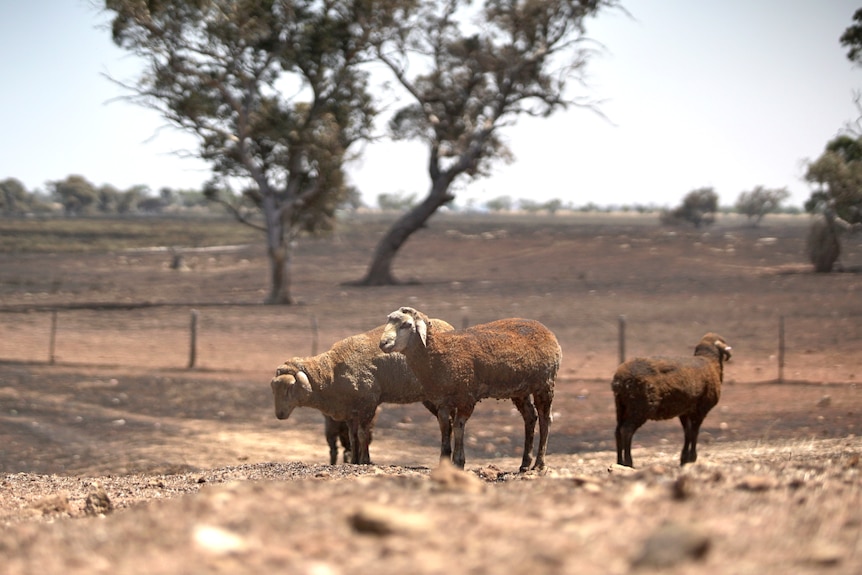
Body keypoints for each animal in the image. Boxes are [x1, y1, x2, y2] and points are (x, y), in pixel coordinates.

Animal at [274, 322, 456, 466]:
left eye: (289, 388)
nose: (279, 415)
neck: (331, 372)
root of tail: (450, 327)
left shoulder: (368, 404)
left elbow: (363, 435)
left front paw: (364, 460)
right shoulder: (350, 411)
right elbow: (353, 437)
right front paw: (354, 460)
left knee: (447, 423)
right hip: (430, 399)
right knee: (449, 423)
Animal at [378, 306, 560, 472]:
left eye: (407, 324)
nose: (383, 343)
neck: (436, 351)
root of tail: (545, 329)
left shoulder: (466, 398)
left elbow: (458, 427)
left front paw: (458, 461)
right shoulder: (442, 401)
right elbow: (445, 428)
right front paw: (444, 462)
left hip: (545, 384)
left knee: (545, 419)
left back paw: (539, 464)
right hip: (520, 390)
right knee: (530, 417)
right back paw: (525, 464)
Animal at [612, 332, 732, 468]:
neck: (710, 362)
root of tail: (620, 380)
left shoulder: (685, 411)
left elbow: (687, 432)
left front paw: (684, 458)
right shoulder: (700, 410)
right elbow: (694, 432)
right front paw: (692, 457)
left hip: (622, 406)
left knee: (618, 431)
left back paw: (619, 462)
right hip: (639, 407)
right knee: (626, 430)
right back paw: (629, 462)